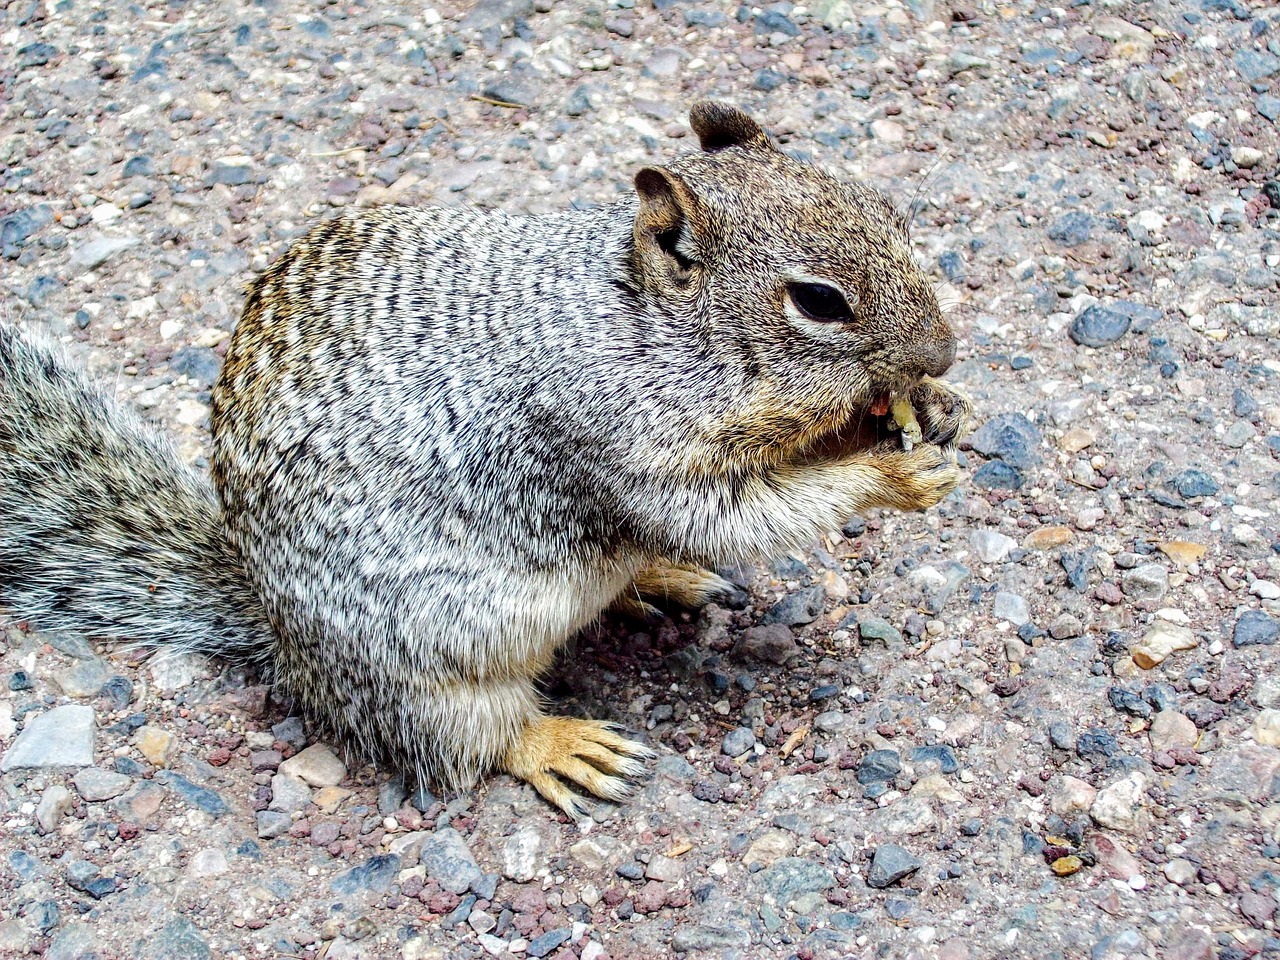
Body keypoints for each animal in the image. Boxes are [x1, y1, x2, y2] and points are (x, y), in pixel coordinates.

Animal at [0, 101, 967, 814]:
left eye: (891, 213)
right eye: (818, 301)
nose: (946, 352)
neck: (645, 323)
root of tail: (284, 644)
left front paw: (926, 408)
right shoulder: (616, 438)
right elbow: (736, 514)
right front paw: (888, 473)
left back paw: (660, 579)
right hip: (428, 670)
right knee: (465, 742)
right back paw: (560, 743)